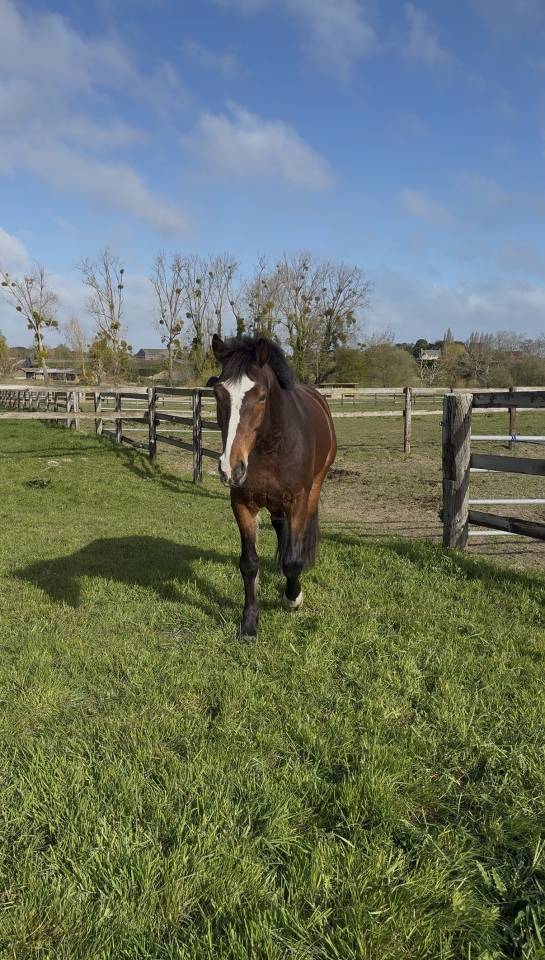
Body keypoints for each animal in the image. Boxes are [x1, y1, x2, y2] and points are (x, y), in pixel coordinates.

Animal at [208, 334, 336, 638]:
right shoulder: (242, 503)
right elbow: (249, 563)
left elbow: (293, 563)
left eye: (262, 397)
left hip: (314, 487)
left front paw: (293, 597)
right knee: (280, 527)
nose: (231, 468)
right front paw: (249, 623)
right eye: (218, 394)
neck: (270, 447)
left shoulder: (298, 501)